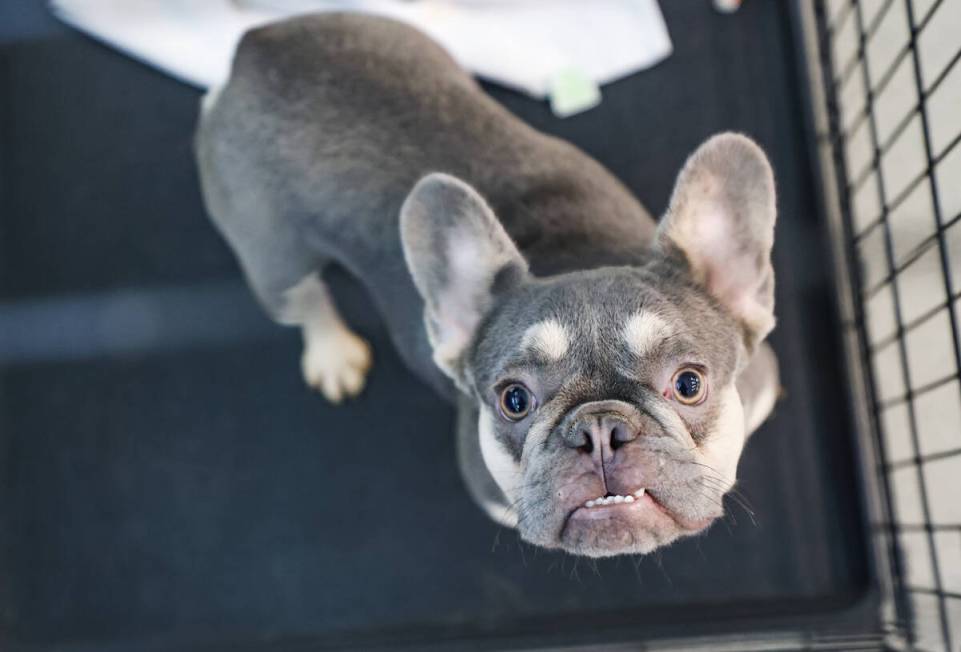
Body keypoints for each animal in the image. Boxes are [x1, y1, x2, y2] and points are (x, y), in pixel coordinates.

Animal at [195, 12, 780, 556]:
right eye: (513, 400)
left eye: (689, 384)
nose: (599, 430)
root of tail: (254, 49)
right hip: (272, 260)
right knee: (305, 299)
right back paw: (332, 352)